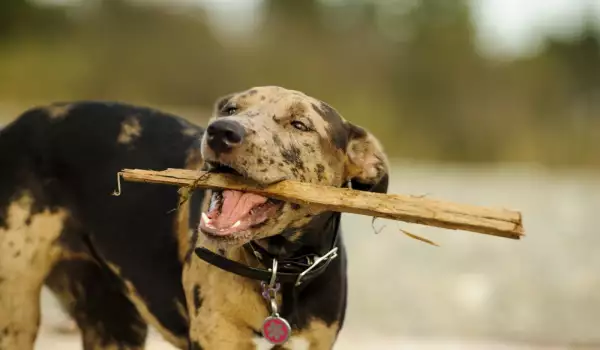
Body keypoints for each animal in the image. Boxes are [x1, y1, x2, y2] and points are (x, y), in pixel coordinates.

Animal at [0, 85, 390, 350]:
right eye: (231, 108)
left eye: (300, 124)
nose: (222, 130)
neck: (279, 268)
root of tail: (13, 127)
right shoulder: (216, 338)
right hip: (15, 312)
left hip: (114, 321)